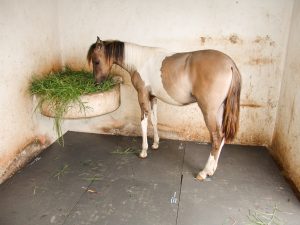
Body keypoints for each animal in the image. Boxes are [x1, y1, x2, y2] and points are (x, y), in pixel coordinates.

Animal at [86, 37, 241, 181]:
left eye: (96, 61)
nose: (96, 83)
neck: (140, 61)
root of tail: (230, 64)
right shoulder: (153, 97)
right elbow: (154, 120)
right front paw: (155, 144)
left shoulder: (142, 95)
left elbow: (143, 122)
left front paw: (143, 151)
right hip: (220, 110)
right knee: (222, 136)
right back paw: (212, 169)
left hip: (209, 111)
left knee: (216, 138)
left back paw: (204, 172)